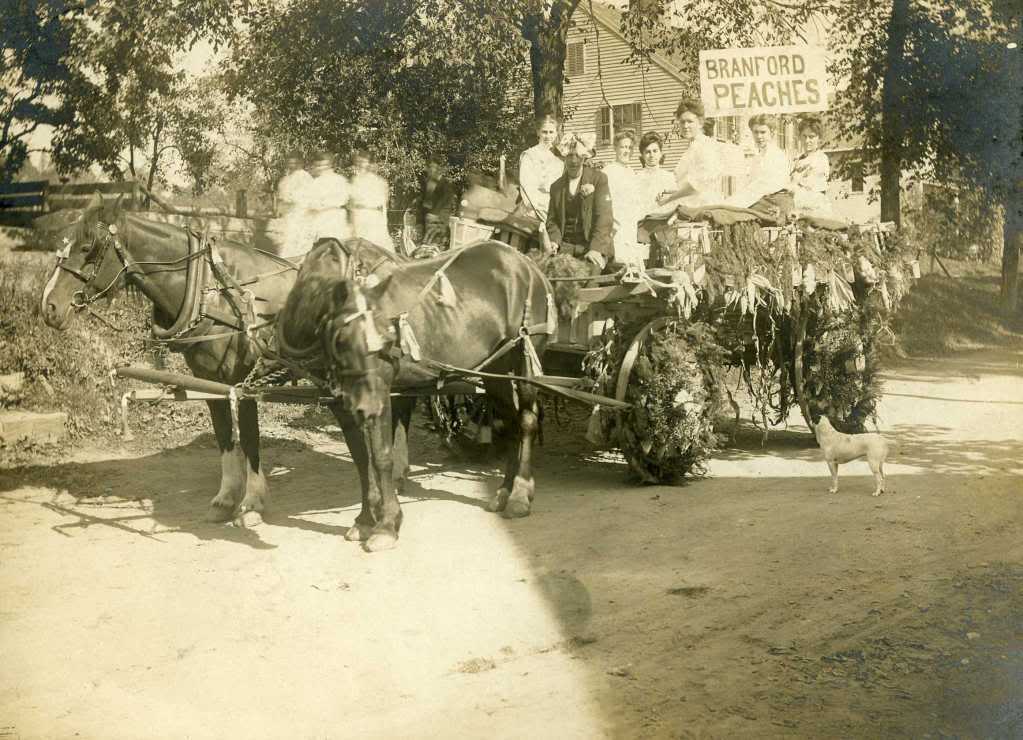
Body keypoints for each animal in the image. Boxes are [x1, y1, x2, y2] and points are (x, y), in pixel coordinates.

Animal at [39, 191, 401, 528]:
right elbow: (225, 438)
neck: (210, 291)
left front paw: (252, 504)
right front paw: (225, 499)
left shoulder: (243, 385)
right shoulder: (209, 382)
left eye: (87, 247)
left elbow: (251, 440)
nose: (48, 306)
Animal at [276, 240, 556, 552]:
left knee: (527, 420)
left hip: (524, 357)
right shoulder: (341, 403)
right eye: (341, 340)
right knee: (511, 421)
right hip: (495, 369)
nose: (368, 407)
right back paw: (505, 491)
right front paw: (365, 519)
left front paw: (387, 524)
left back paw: (520, 494)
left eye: (388, 338)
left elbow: (381, 456)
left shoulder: (384, 392)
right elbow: (362, 459)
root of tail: (528, 266)